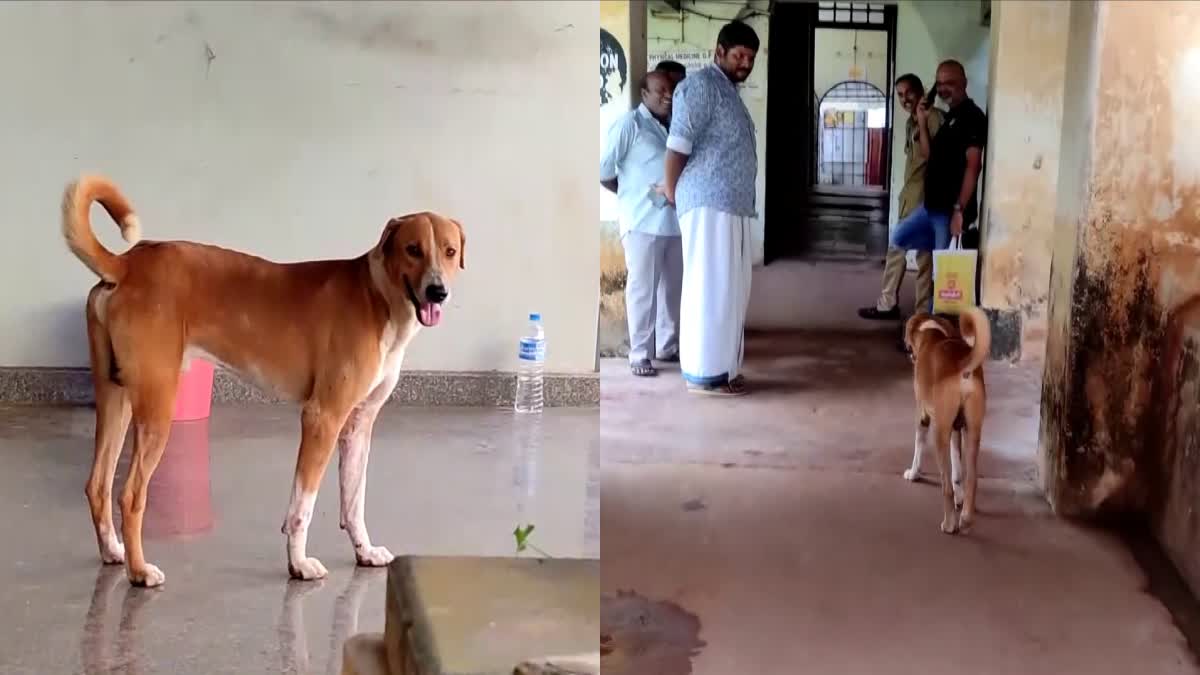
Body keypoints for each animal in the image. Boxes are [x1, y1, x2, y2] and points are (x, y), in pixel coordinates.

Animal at [62, 172, 463, 583]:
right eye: (413, 249)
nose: (438, 291)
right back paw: (140, 570)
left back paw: (114, 551)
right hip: (157, 406)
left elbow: (354, 502)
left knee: (98, 485)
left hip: (117, 398)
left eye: (449, 251)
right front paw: (299, 564)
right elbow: (302, 508)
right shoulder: (322, 418)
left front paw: (364, 551)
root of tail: (127, 263)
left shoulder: (359, 425)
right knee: (129, 495)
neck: (378, 297)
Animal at [902, 307, 988, 533]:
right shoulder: (957, 428)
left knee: (946, 486)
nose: (909, 353)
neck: (932, 334)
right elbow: (957, 468)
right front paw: (960, 497)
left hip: (939, 433)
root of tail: (962, 365)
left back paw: (949, 524)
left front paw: (913, 473)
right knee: (971, 479)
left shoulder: (922, 415)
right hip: (973, 431)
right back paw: (965, 517)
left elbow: (918, 446)